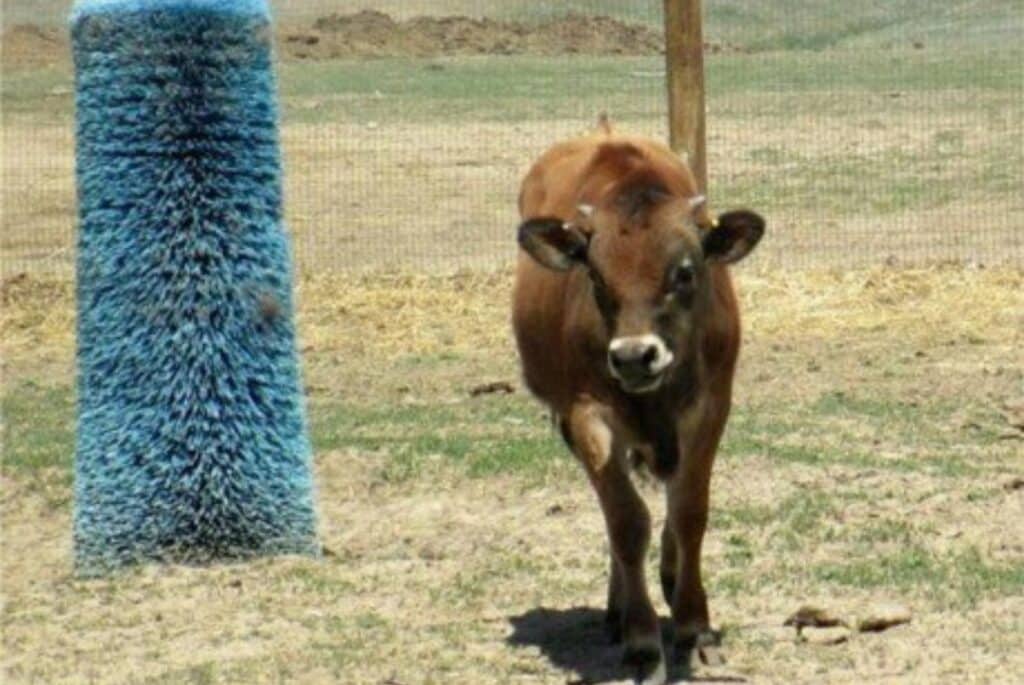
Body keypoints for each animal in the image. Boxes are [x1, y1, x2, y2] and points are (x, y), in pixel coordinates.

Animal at [512, 120, 764, 684]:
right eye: (595, 276)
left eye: (685, 272)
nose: (633, 356)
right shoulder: (586, 415)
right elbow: (626, 522)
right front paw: (644, 642)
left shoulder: (710, 407)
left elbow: (689, 513)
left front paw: (695, 629)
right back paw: (620, 608)